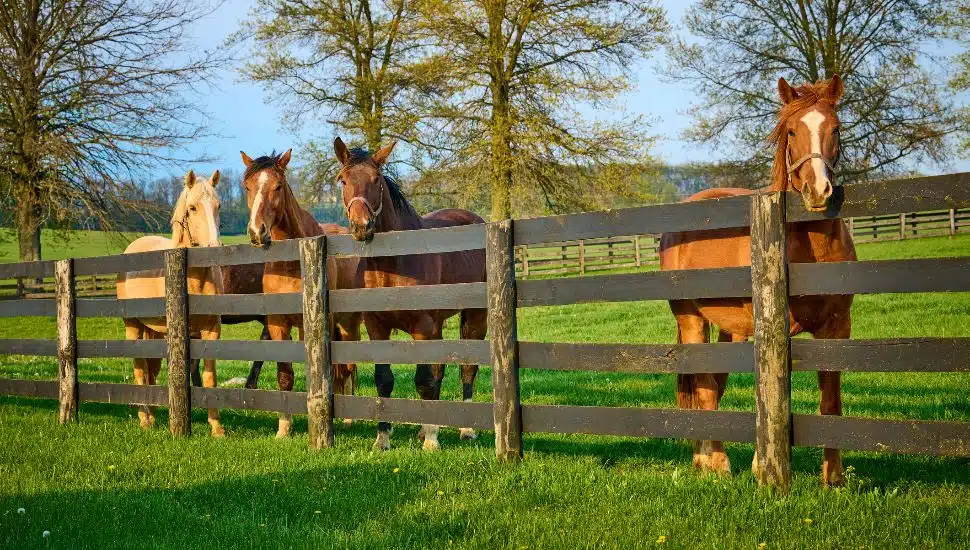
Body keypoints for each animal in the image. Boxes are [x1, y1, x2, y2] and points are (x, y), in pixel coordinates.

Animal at [117, 171, 227, 436]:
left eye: (218, 205)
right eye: (192, 207)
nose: (214, 248)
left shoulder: (211, 331)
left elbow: (209, 377)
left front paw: (216, 428)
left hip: (153, 332)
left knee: (151, 370)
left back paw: (153, 415)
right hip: (133, 326)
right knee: (140, 368)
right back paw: (145, 419)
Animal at [241, 149, 362, 437]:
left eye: (278, 186)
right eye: (248, 186)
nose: (257, 231)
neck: (292, 263)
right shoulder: (277, 325)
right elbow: (285, 376)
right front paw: (284, 428)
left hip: (348, 323)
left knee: (348, 367)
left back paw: (348, 419)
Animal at [333, 137, 488, 451]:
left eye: (376, 179)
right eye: (342, 180)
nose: (361, 226)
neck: (393, 262)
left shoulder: (423, 329)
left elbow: (424, 380)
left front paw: (431, 440)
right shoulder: (377, 328)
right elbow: (384, 379)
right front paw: (383, 439)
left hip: (475, 317)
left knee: (468, 368)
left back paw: (466, 429)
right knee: (441, 370)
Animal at [659, 75, 854, 486]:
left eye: (835, 129)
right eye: (792, 130)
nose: (817, 191)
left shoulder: (837, 328)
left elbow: (831, 400)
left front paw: (834, 477)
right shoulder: (772, 330)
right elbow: (771, 392)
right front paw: (761, 466)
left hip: (729, 328)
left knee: (713, 382)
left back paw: (702, 458)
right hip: (691, 318)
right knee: (704, 385)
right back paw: (718, 463)